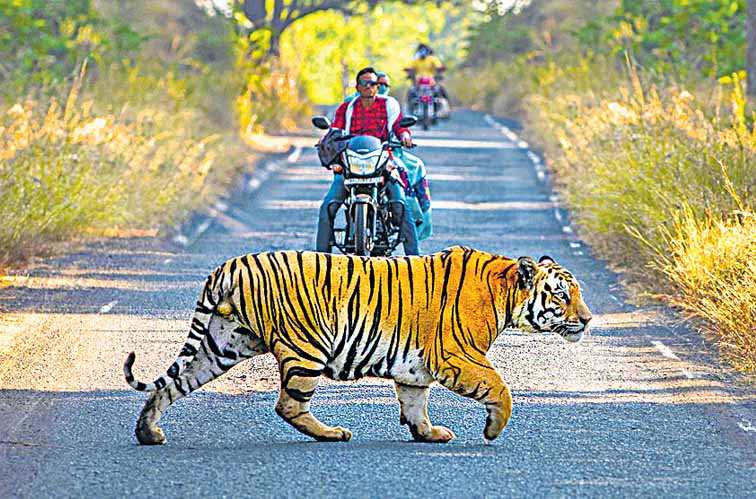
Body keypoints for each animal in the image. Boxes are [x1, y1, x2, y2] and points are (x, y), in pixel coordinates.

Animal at [124, 245, 592, 445]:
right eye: (561, 295)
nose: (588, 319)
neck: (506, 294)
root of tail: (230, 265)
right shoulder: (457, 355)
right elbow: (501, 388)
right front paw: (492, 430)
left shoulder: (416, 366)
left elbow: (414, 402)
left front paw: (427, 434)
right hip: (307, 346)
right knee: (289, 404)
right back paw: (333, 434)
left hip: (222, 344)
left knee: (173, 384)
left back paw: (148, 433)